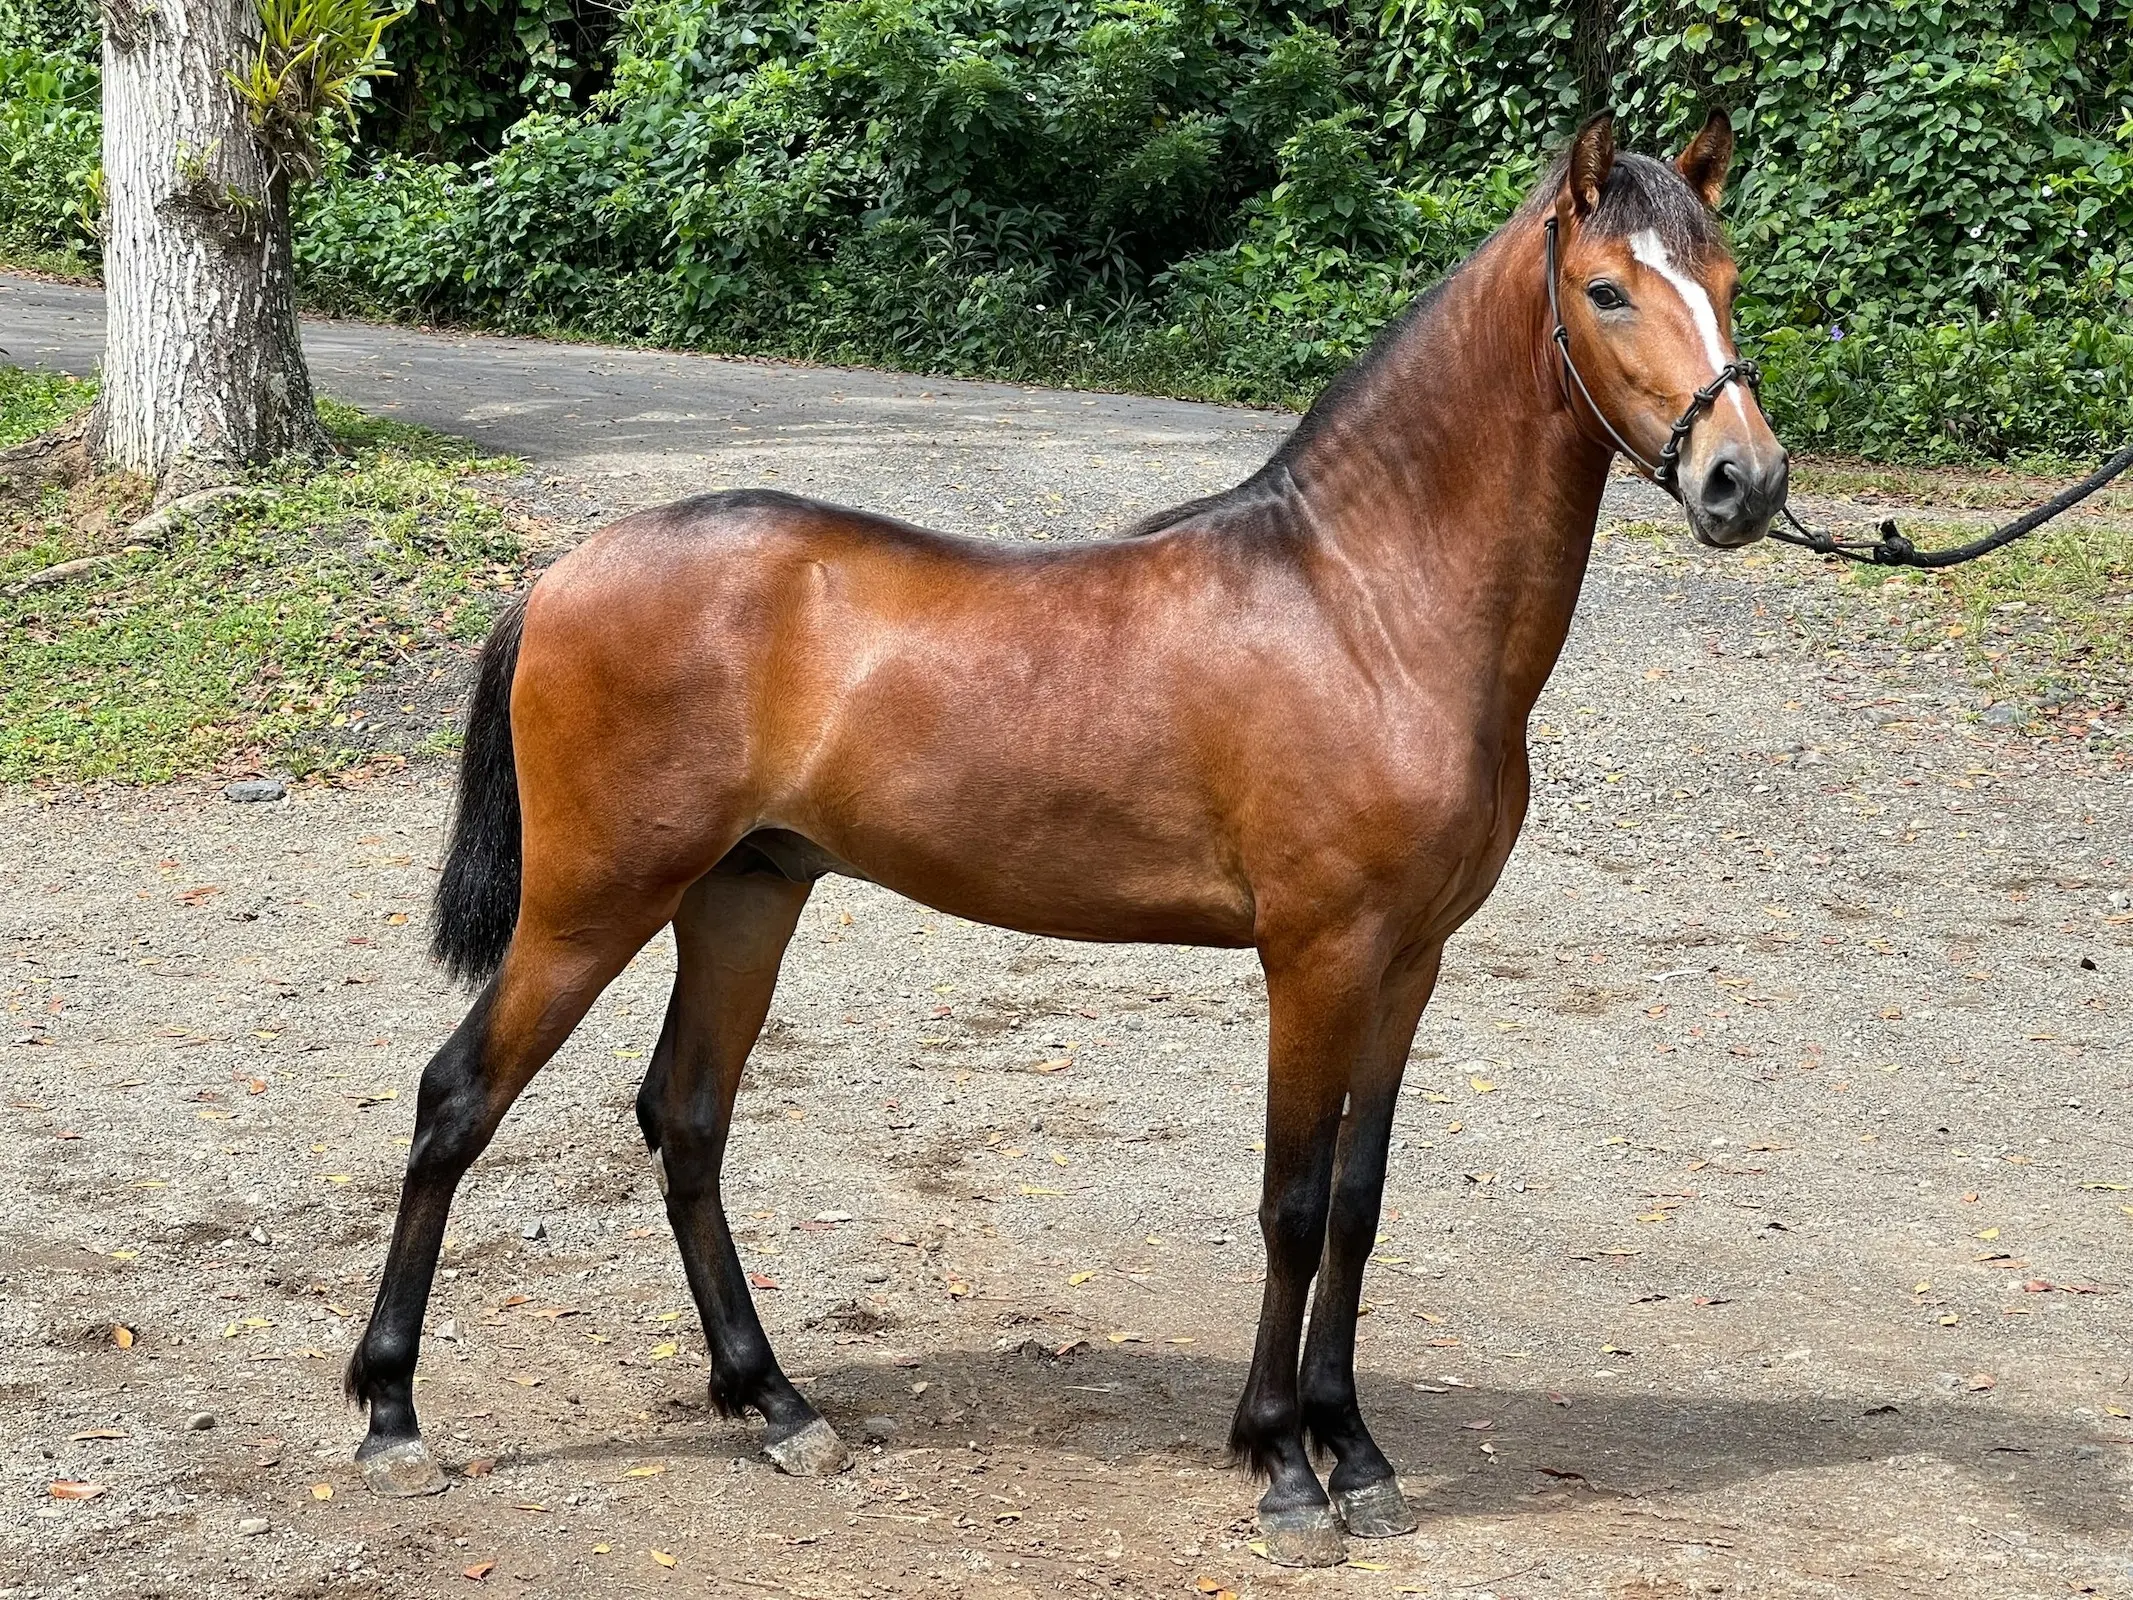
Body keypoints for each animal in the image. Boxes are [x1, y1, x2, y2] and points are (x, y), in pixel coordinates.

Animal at [345, 109, 1783, 1570]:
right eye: (1606, 290)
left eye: (1728, 285)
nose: (1744, 480)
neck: (1362, 606)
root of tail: (563, 574)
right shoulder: (1317, 956)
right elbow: (1292, 1204)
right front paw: (1284, 1469)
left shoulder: (1409, 961)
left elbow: (1360, 1204)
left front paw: (1358, 1453)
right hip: (593, 903)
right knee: (457, 1100)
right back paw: (393, 1416)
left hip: (743, 894)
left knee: (686, 1120)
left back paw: (777, 1404)